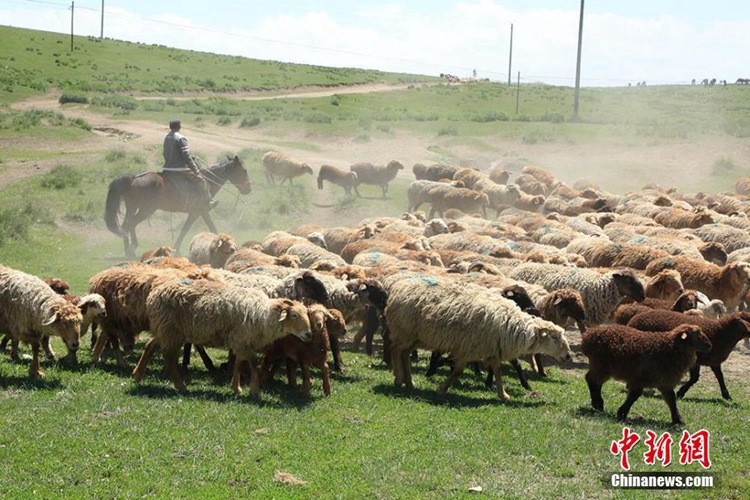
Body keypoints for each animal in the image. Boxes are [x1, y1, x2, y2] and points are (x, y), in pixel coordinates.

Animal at [104, 155, 254, 258]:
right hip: (146, 209)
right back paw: (131, 249)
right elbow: (206, 228)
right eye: (244, 170)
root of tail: (133, 178)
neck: (208, 180)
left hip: (133, 207)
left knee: (126, 225)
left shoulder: (198, 212)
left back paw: (128, 250)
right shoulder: (200, 211)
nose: (248, 189)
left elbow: (188, 229)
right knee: (130, 224)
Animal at [134, 280, 312, 396]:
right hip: (171, 331)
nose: (309, 334)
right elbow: (253, 362)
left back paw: (137, 375)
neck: (264, 316)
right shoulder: (241, 339)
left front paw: (236, 388)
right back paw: (181, 387)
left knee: (150, 344)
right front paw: (255, 391)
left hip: (165, 330)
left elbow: (239, 363)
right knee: (169, 357)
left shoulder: (242, 342)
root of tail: (153, 295)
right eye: (294, 315)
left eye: (306, 313)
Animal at [584, 324, 712, 426]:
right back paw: (598, 403)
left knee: (595, 382)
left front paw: (678, 420)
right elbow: (634, 396)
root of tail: (588, 335)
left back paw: (598, 405)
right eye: (696, 333)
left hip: (602, 367)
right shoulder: (640, 378)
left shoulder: (665, 381)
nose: (709, 345)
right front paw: (622, 414)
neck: (669, 348)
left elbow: (671, 400)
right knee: (591, 379)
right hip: (602, 366)